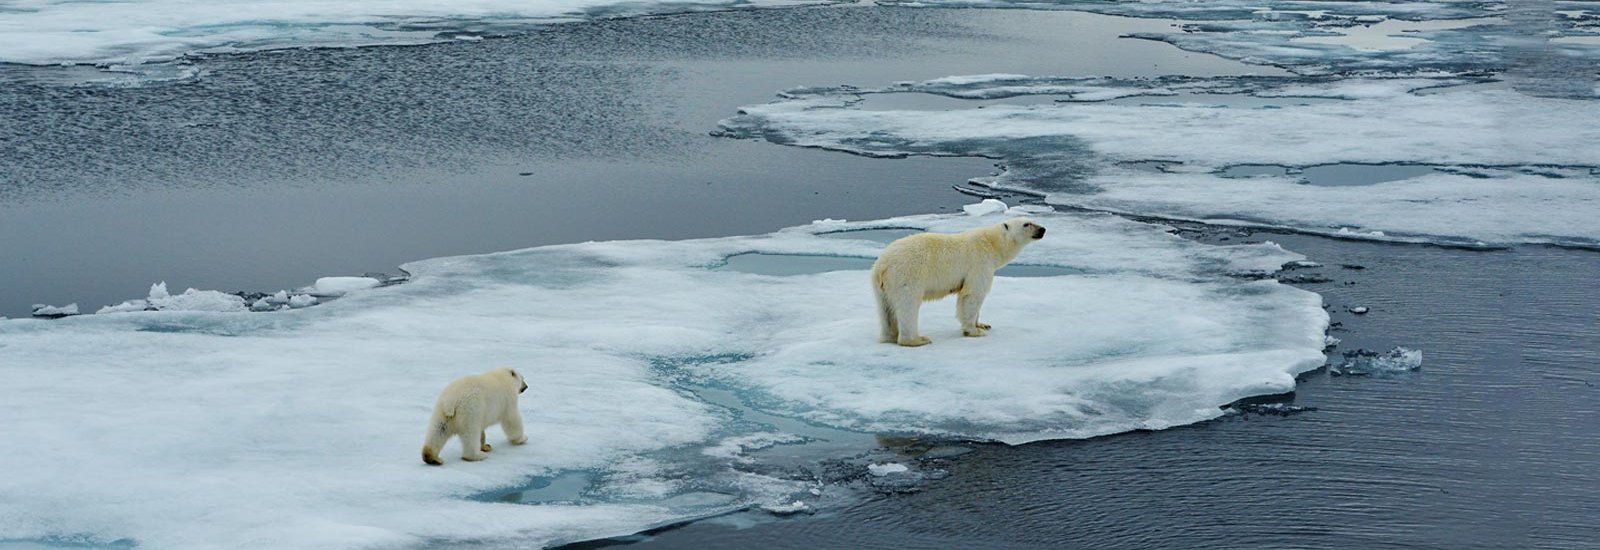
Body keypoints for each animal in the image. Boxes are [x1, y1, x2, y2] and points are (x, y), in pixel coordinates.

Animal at [871, 217, 1046, 347]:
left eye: (1033, 219)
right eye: (1026, 224)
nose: (1043, 229)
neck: (992, 243)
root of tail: (882, 265)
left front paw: (982, 324)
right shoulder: (979, 262)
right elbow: (973, 294)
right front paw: (974, 331)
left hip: (881, 286)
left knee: (885, 309)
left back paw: (890, 336)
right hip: (907, 275)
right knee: (908, 305)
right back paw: (917, 339)